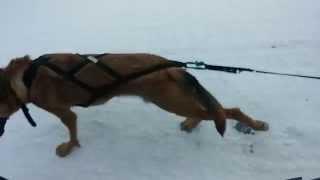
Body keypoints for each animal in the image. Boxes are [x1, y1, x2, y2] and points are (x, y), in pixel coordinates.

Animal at [0, 52, 268, 157]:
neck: (21, 79)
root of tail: (170, 67)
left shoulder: (65, 113)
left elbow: (72, 131)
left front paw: (70, 147)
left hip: (170, 101)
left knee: (227, 111)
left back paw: (256, 125)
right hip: (177, 100)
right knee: (211, 111)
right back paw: (193, 123)